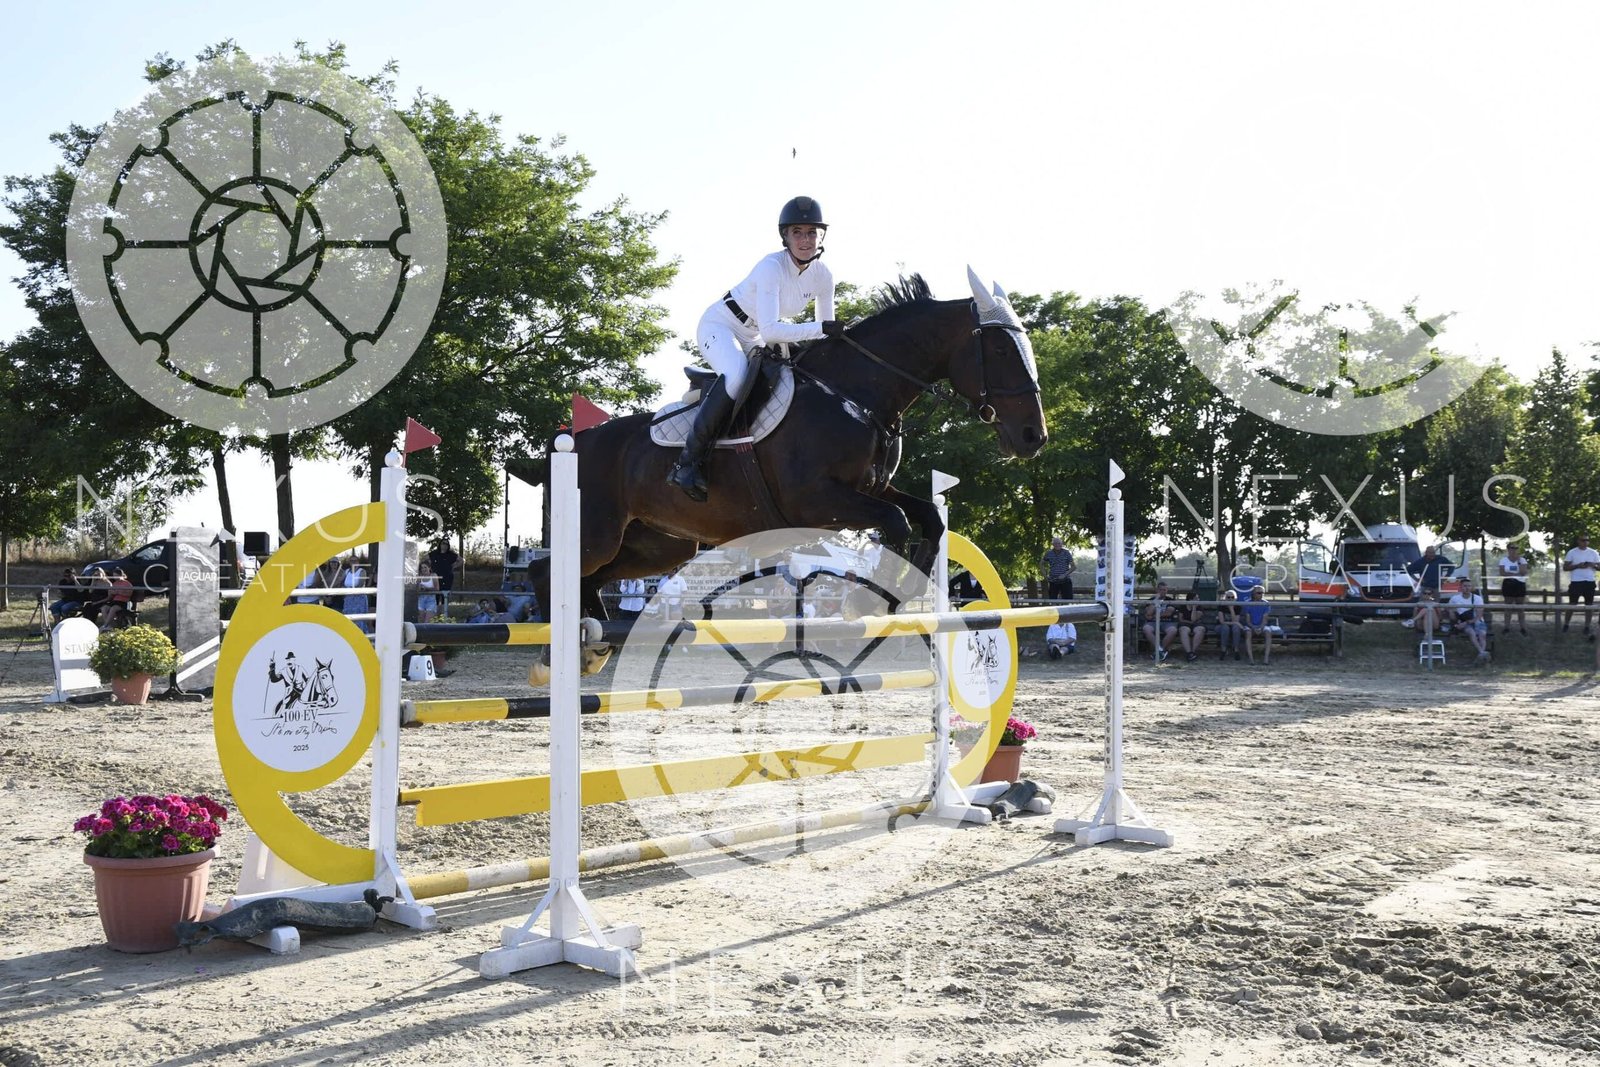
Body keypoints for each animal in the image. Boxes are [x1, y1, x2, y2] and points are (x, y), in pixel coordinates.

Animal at [527, 268, 1045, 677]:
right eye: (1002, 350)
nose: (1032, 437)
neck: (854, 395)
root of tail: (573, 442)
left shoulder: (872, 489)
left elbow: (928, 519)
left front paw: (895, 595)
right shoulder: (816, 501)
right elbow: (897, 523)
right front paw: (865, 602)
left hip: (657, 544)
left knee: (589, 579)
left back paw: (591, 646)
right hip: (599, 533)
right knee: (546, 569)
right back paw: (556, 656)